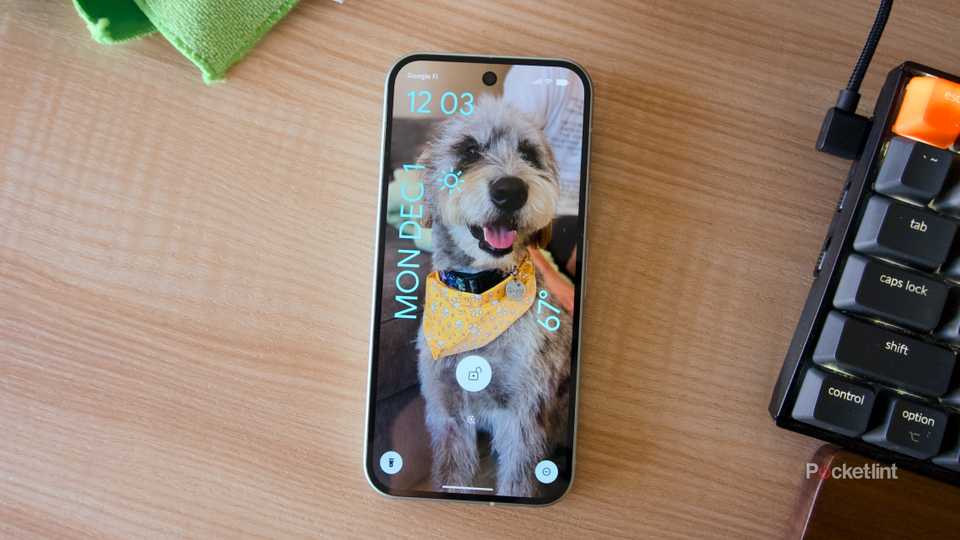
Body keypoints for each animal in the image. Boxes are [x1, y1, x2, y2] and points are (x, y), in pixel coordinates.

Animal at [416, 96, 573, 497]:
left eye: (528, 153)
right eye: (469, 150)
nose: (511, 190)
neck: (480, 293)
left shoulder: (524, 415)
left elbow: (518, 482)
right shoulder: (448, 413)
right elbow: (451, 473)